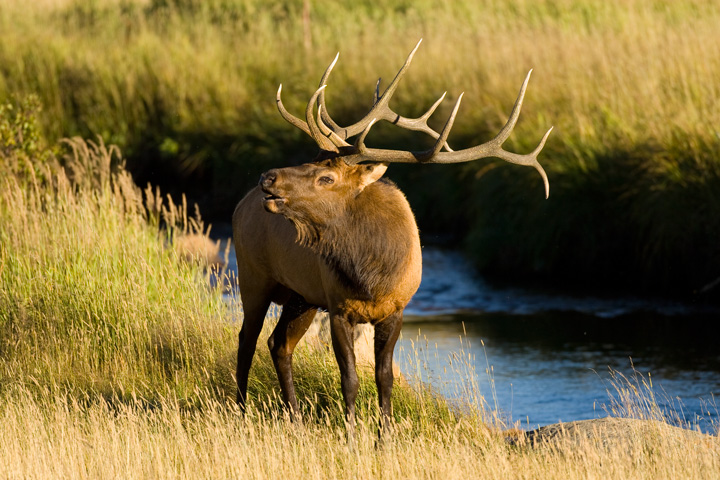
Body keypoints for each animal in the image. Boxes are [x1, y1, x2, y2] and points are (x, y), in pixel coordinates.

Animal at [231, 39, 552, 433]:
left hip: (299, 295)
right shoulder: (338, 306)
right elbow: (349, 378)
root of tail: (239, 204)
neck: (371, 273)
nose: (268, 177)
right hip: (254, 276)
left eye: (326, 177)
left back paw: (293, 417)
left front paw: (383, 435)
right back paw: (242, 410)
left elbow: (384, 378)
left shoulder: (395, 308)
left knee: (279, 343)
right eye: (310, 161)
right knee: (247, 341)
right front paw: (352, 434)